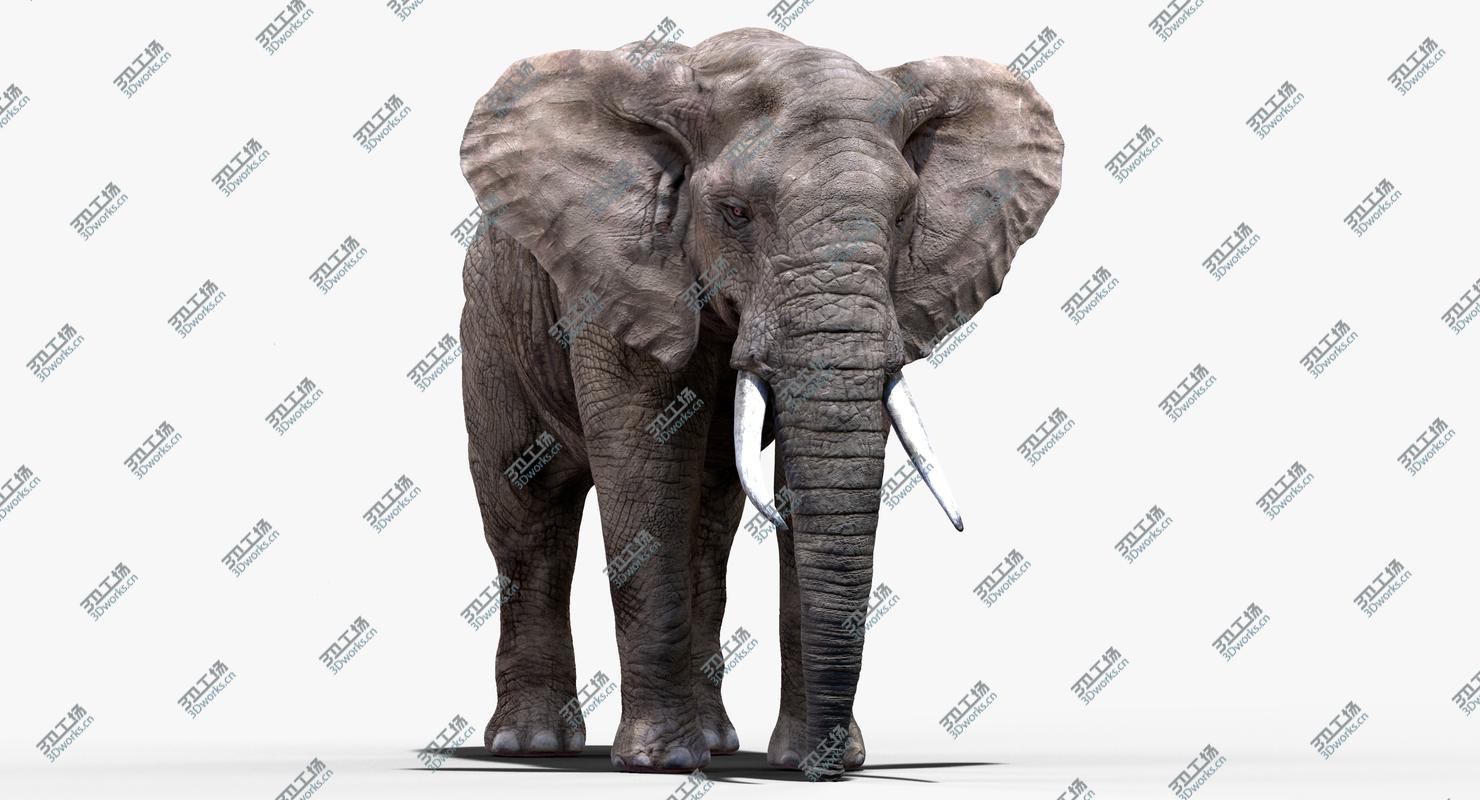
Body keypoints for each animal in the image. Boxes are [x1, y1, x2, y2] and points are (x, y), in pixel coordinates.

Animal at [457, 27, 1062, 779]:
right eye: (736, 214)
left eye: (902, 216)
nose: (831, 770)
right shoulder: (615, 275)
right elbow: (644, 468)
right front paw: (659, 764)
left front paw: (809, 759)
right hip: (489, 319)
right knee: (528, 515)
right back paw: (533, 746)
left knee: (709, 527)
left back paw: (717, 744)